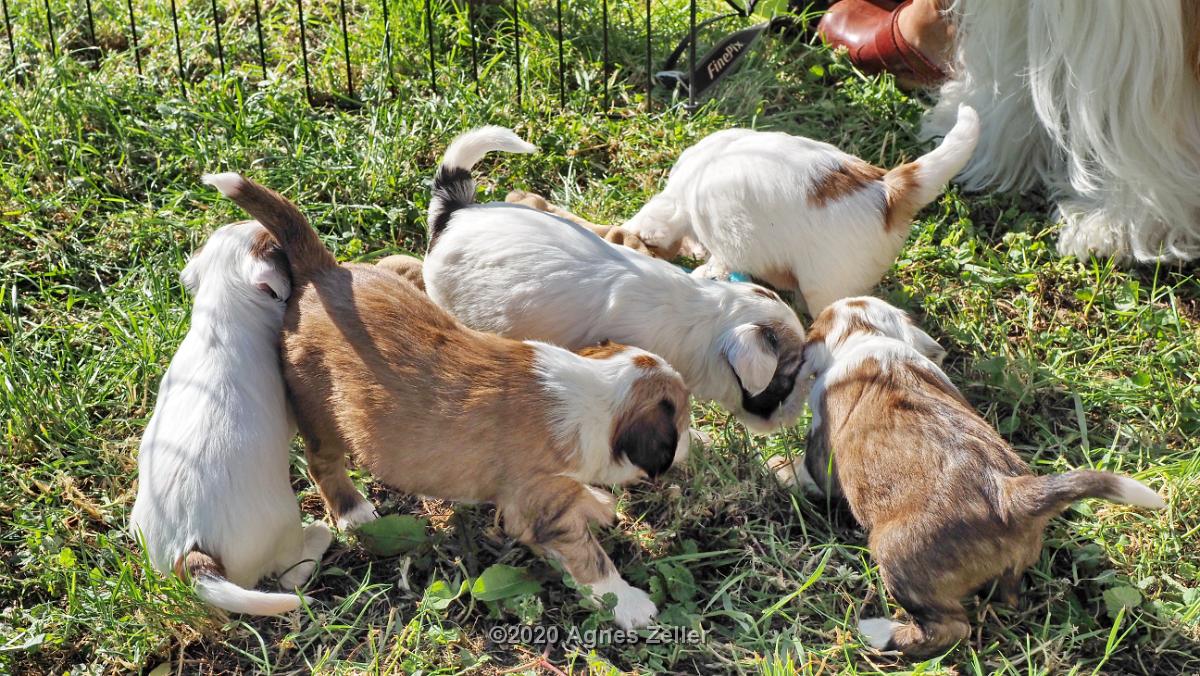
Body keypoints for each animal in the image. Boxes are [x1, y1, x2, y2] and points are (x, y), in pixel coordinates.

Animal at [204, 170, 696, 629]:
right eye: (683, 424)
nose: (691, 448)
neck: (594, 388)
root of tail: (322, 272)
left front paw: (596, 503)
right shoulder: (542, 506)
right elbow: (590, 558)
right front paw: (630, 604)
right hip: (320, 410)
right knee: (324, 464)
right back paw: (355, 512)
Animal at [772, 298, 1166, 657]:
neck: (868, 335)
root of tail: (1011, 495)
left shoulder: (822, 453)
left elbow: (810, 474)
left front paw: (780, 468)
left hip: (896, 555)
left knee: (950, 628)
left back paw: (878, 632)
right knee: (1006, 598)